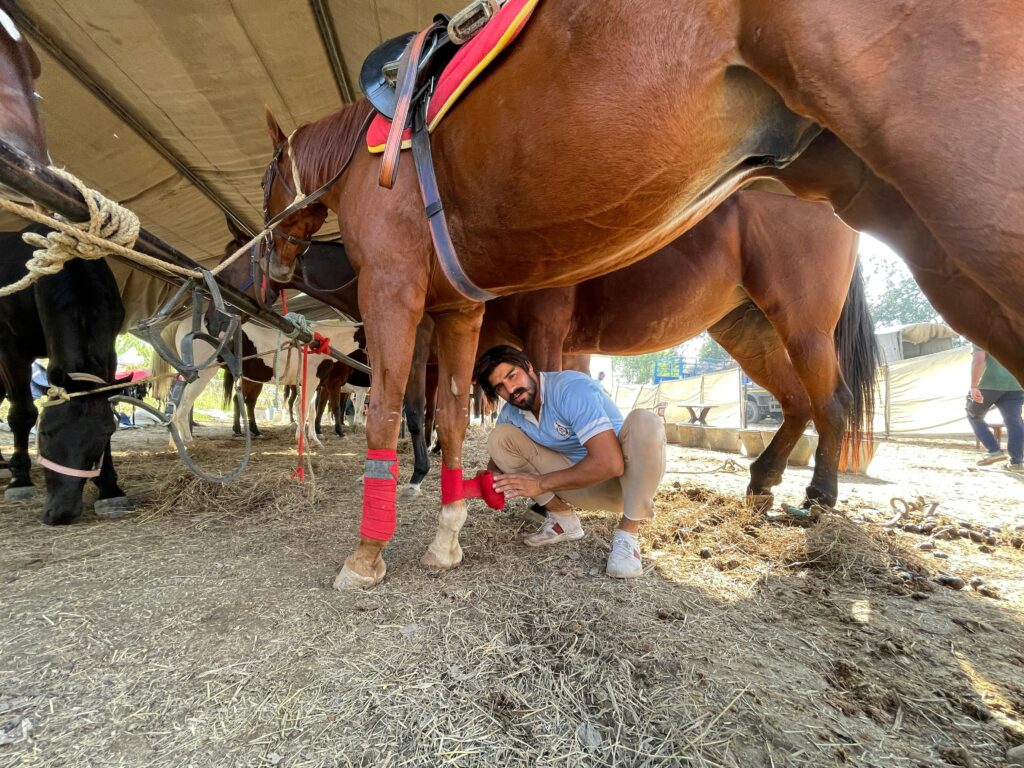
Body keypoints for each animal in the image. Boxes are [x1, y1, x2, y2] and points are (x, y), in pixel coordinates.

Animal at [0, 227, 133, 524]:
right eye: (45, 433)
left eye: (103, 436)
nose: (61, 513)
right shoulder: (11, 350)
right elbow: (22, 414)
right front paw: (20, 480)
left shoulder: (109, 353)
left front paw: (109, 488)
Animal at [475, 193, 876, 512]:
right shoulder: (571, 349)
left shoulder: (544, 331)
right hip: (746, 331)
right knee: (796, 401)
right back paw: (762, 481)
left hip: (804, 325)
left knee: (832, 401)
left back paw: (819, 494)